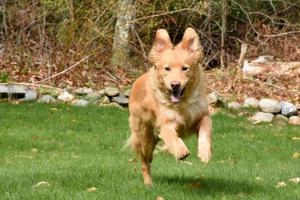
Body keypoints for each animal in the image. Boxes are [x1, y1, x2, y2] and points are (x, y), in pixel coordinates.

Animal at [127, 27, 212, 185]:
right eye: (167, 69)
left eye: (185, 68)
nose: (175, 85)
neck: (183, 103)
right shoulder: (166, 125)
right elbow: (173, 137)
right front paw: (181, 151)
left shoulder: (203, 116)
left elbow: (205, 132)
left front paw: (204, 153)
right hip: (144, 137)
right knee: (145, 163)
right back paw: (148, 183)